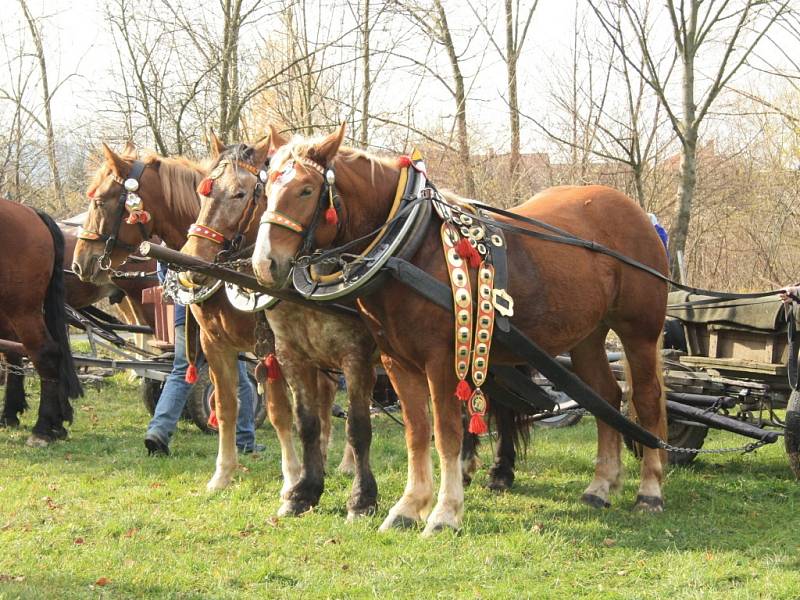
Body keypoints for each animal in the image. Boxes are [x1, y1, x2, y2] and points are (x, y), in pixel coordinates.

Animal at [180, 134, 380, 516]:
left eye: (240, 194)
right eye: (202, 191)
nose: (191, 260)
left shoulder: (271, 349)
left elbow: (279, 412)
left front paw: (291, 480)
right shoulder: (217, 344)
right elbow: (226, 408)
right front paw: (222, 475)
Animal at [252, 124, 668, 536]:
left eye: (306, 190)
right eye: (266, 187)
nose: (264, 264)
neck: (408, 247)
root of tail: (637, 213)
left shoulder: (441, 361)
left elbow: (448, 433)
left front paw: (444, 512)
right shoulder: (396, 361)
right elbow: (418, 433)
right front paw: (409, 506)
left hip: (640, 332)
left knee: (646, 401)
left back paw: (649, 492)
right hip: (587, 336)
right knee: (607, 398)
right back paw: (601, 486)